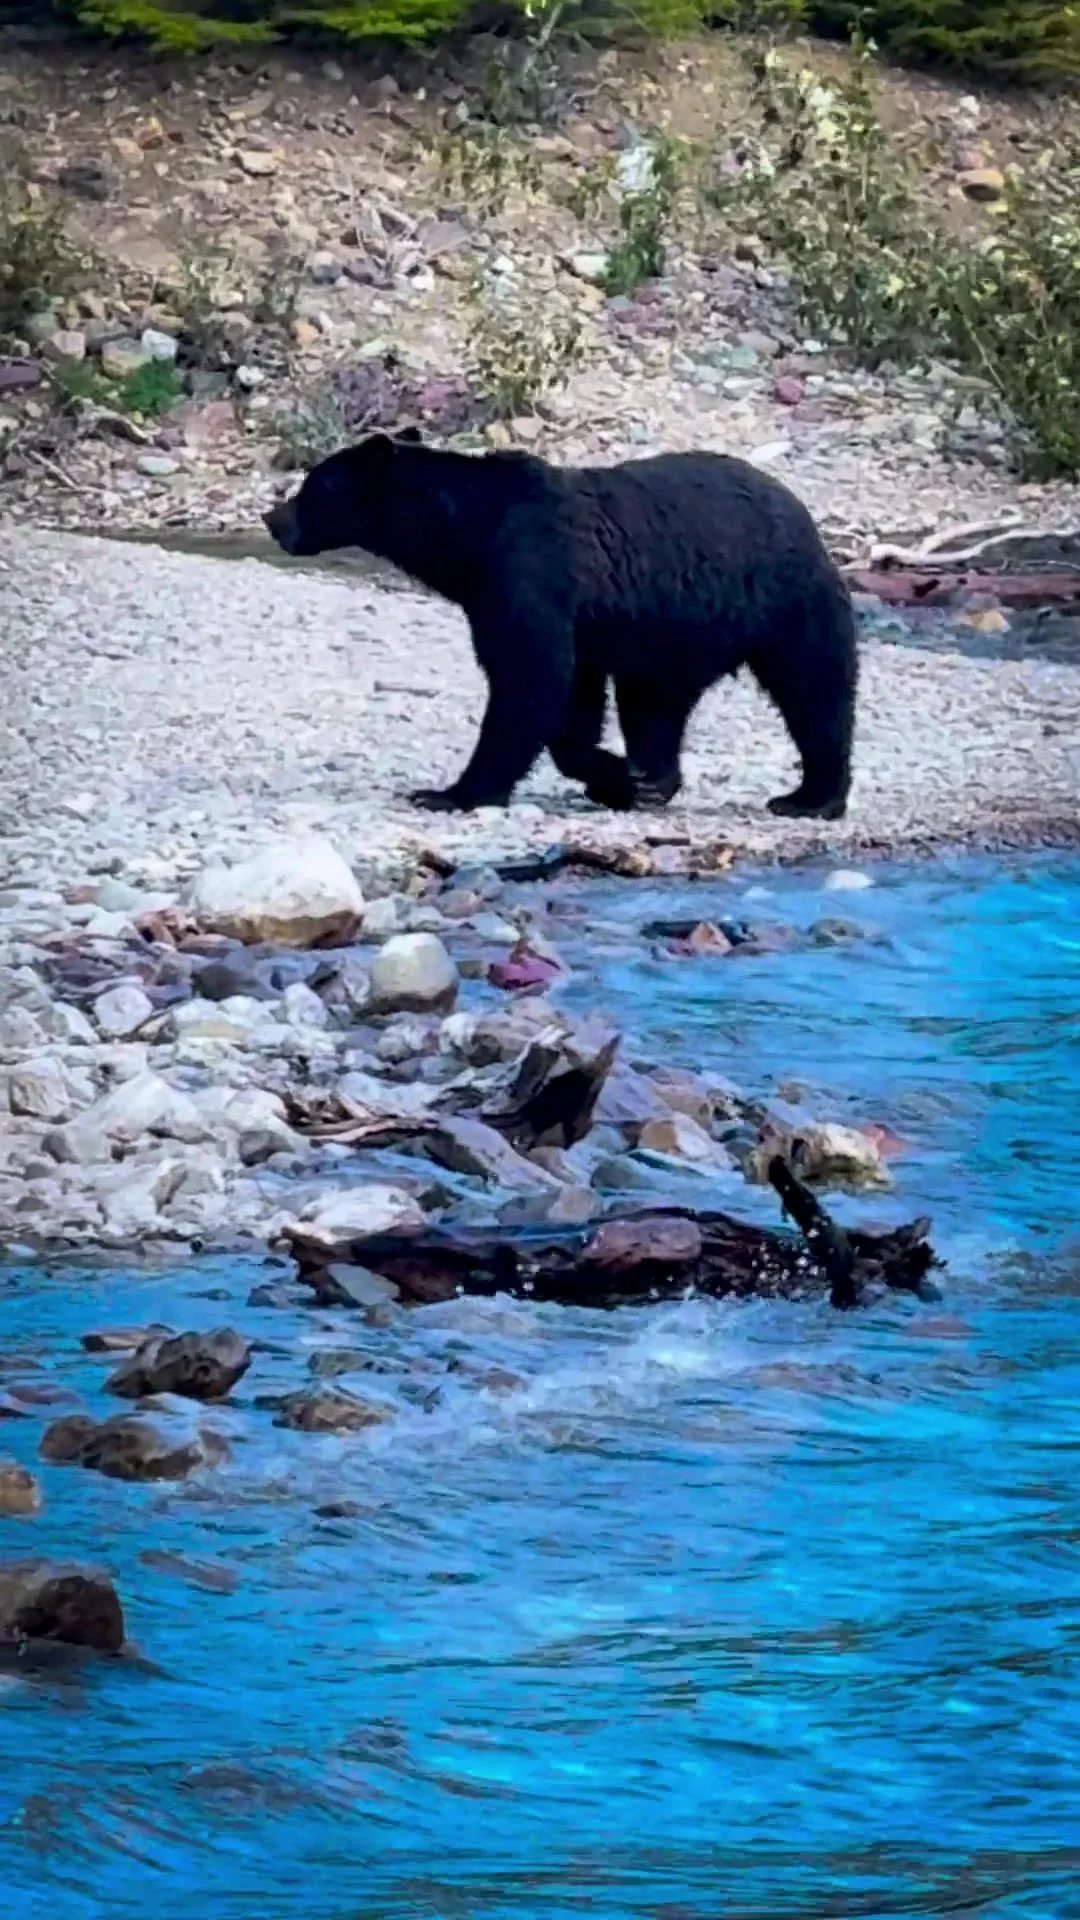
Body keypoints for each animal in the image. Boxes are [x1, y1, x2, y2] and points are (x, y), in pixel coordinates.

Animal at [264, 430, 858, 819]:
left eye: (311, 485)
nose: (273, 519)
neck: (464, 538)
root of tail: (806, 515)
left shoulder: (527, 576)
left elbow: (529, 683)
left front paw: (450, 792)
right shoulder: (574, 617)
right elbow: (571, 697)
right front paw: (623, 778)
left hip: (784, 602)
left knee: (813, 690)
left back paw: (810, 797)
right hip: (669, 634)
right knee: (654, 705)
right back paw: (657, 777)